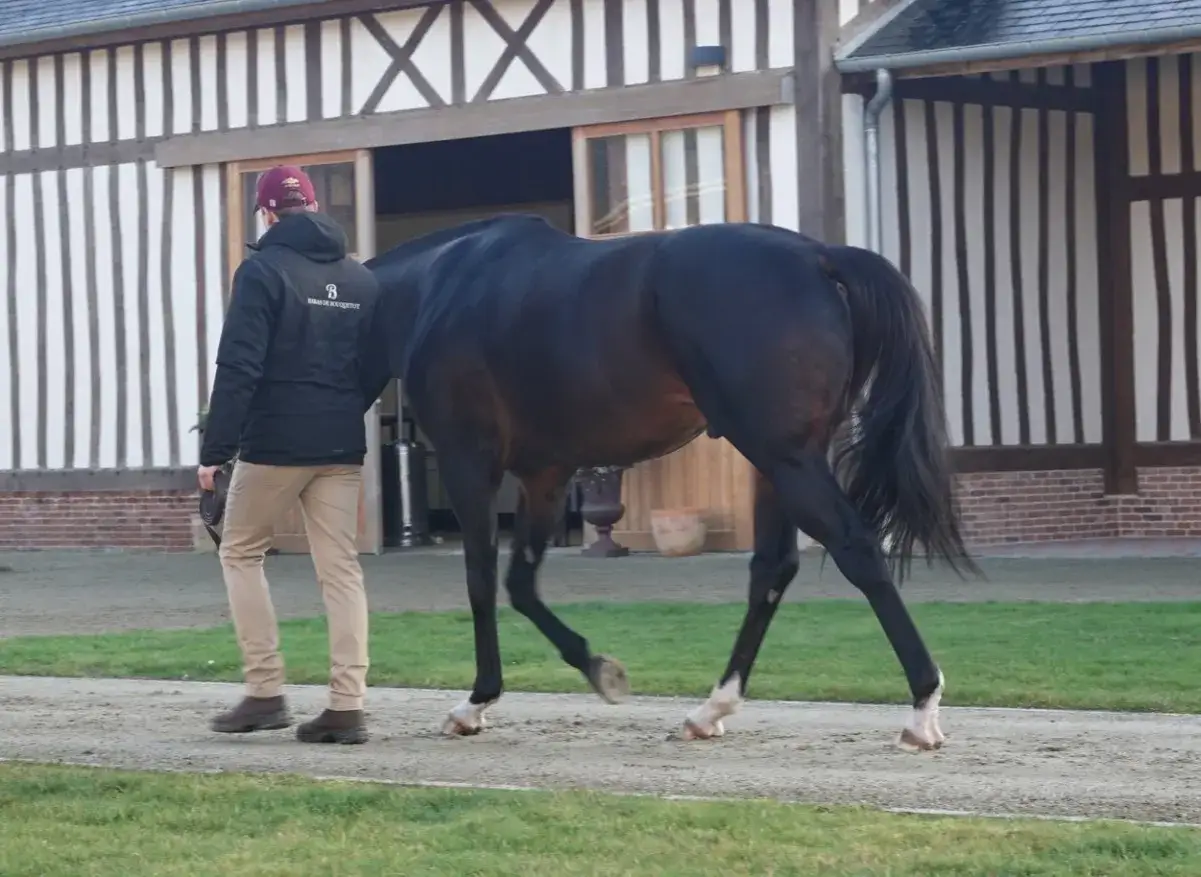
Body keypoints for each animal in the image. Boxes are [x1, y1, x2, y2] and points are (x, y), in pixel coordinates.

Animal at [359, 213, 979, 750]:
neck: (436, 289)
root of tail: (819, 257)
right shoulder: (545, 476)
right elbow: (520, 583)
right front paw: (599, 668)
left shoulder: (470, 464)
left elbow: (482, 581)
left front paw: (477, 702)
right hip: (779, 464)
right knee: (772, 569)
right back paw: (711, 710)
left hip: (785, 457)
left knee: (855, 549)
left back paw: (922, 710)